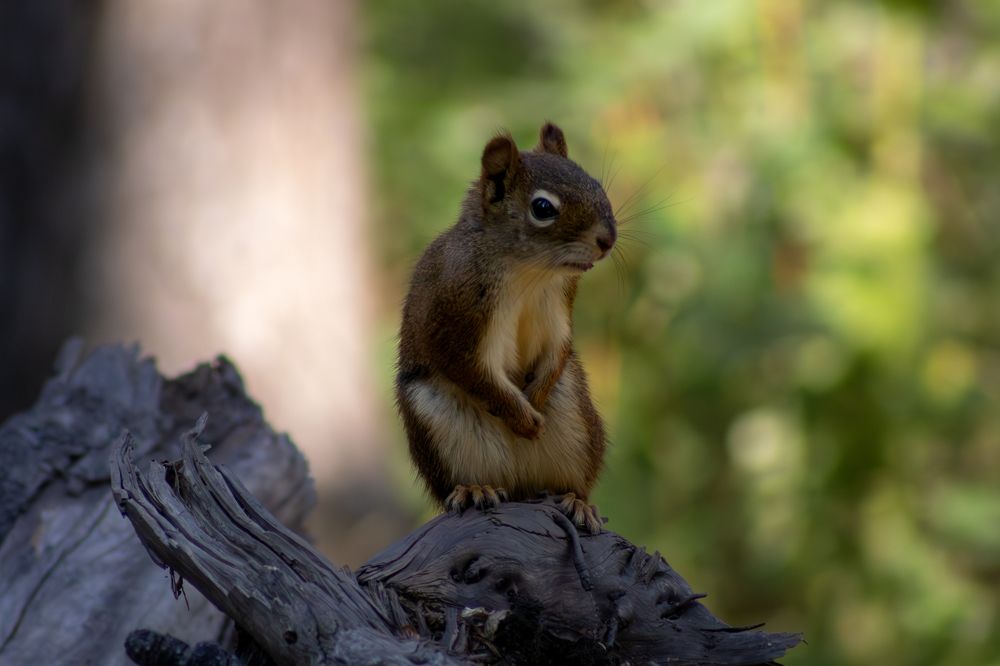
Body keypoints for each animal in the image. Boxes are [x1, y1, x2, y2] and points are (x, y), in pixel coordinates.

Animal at [395, 122, 616, 533]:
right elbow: (473, 372)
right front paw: (522, 417)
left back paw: (577, 501)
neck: (529, 270)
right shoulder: (456, 319)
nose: (607, 241)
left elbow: (558, 348)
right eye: (543, 208)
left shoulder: (560, 305)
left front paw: (536, 401)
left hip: (575, 415)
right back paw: (474, 489)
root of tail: (519, 485)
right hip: (437, 421)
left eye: (594, 182)